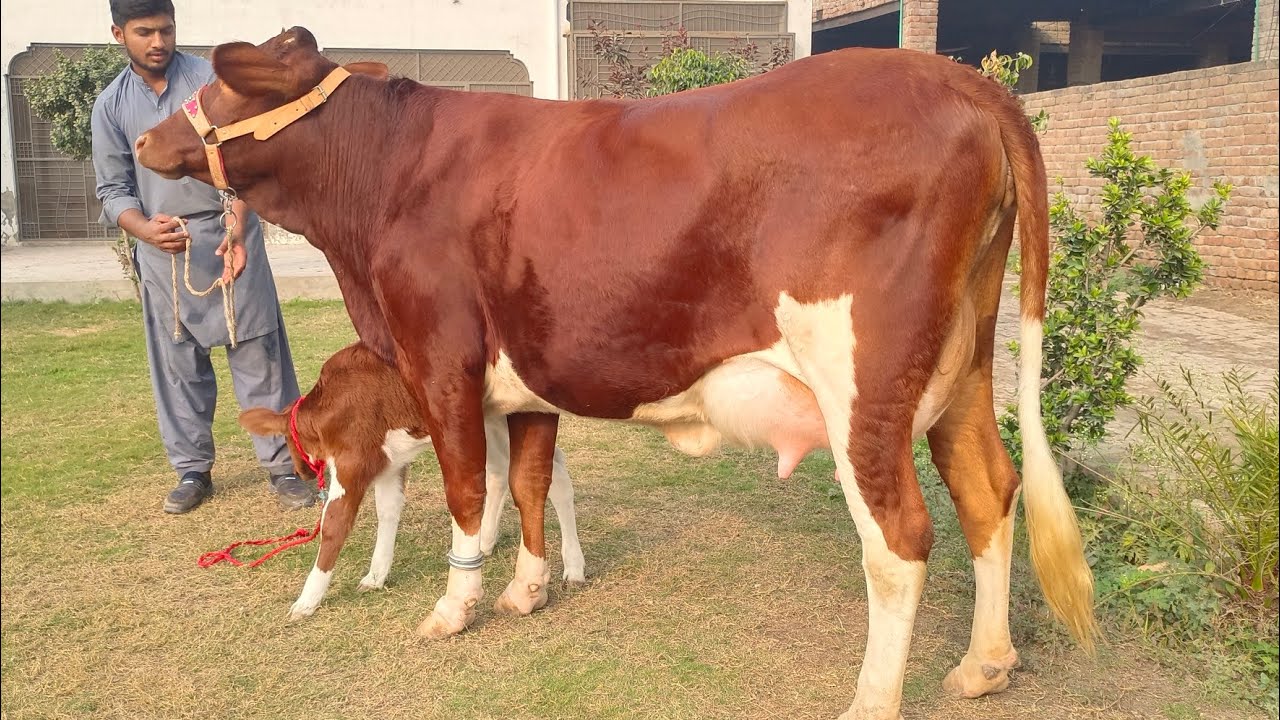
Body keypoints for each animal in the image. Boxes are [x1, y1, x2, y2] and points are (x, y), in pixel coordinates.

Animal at [237, 341, 586, 621]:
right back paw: (486, 541)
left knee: (548, 476)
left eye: (285, 440)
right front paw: (376, 575)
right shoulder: (389, 463)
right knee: (516, 470)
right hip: (494, 421)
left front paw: (307, 600)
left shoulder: (353, 462)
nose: (303, 474)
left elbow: (334, 524)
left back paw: (573, 566)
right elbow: (388, 510)